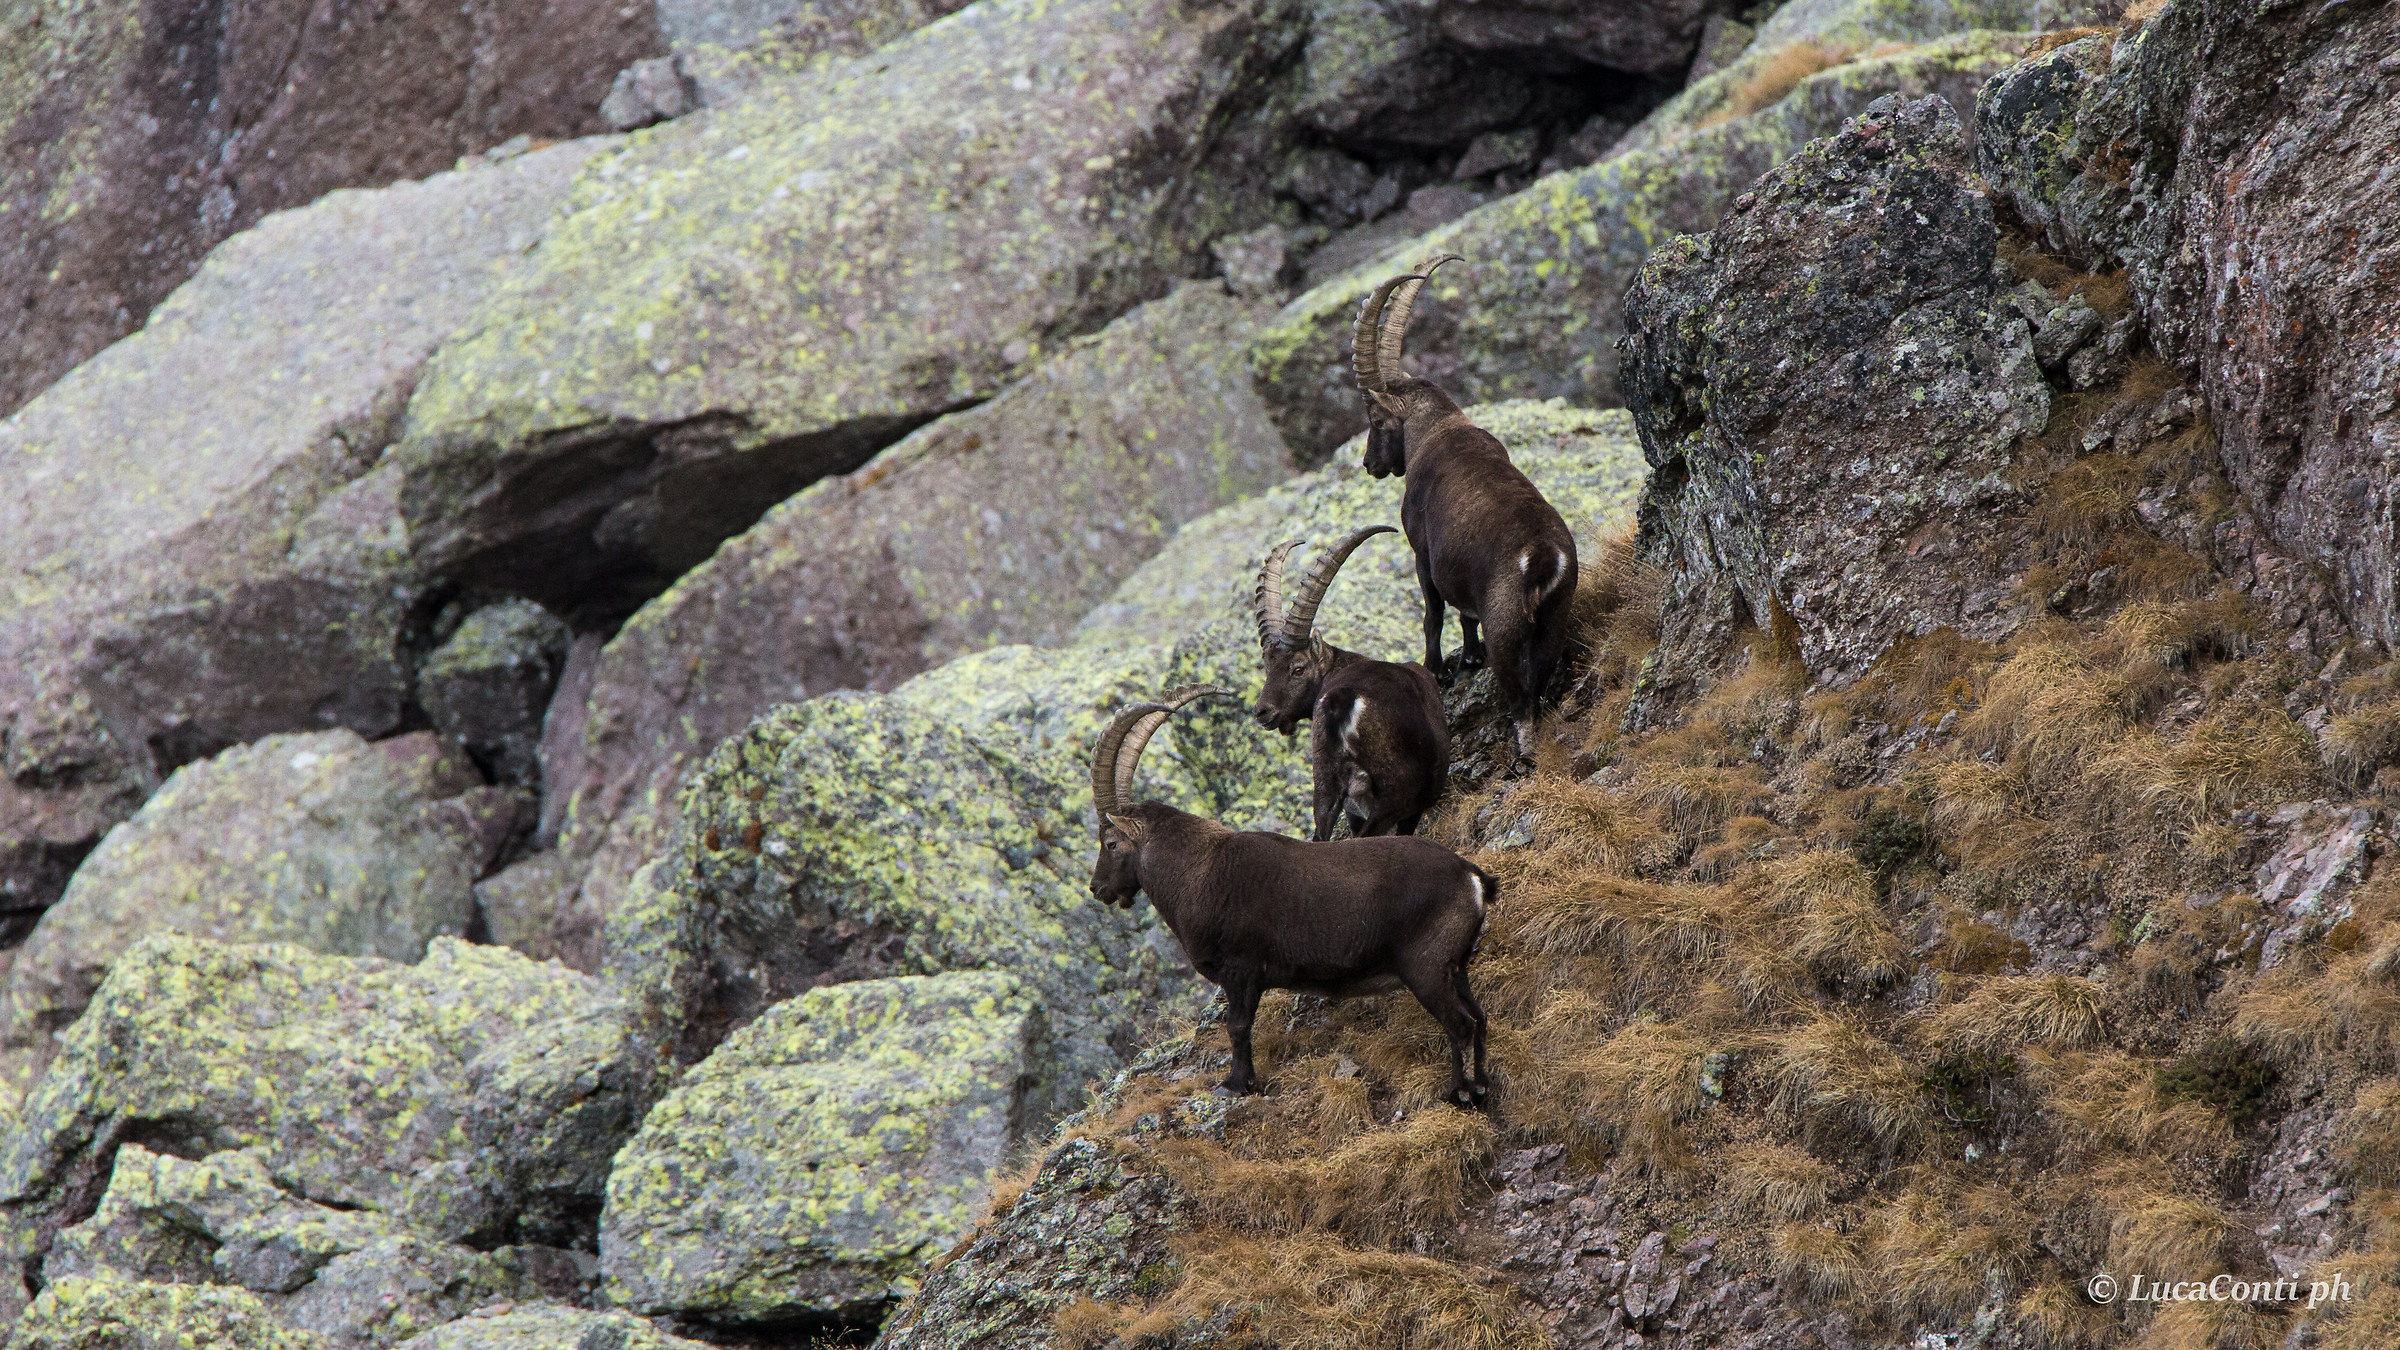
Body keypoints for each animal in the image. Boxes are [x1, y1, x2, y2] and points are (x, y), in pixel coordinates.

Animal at [1089, 686, 1492, 1107]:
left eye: (1111, 842)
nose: (1097, 888)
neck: (1197, 870)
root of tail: (1472, 877)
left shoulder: (1241, 970)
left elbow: (1237, 1027)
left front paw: (1235, 1084)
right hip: (1456, 967)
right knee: (1480, 1019)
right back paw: (1480, 1086)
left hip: (1426, 967)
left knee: (1461, 1025)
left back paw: (1460, 1092)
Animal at [1250, 526, 1449, 840]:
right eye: (1269, 667)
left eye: (1297, 669)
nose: (1262, 712)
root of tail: (1343, 701)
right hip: (1393, 793)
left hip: (1325, 782)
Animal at [1354, 255, 1579, 764]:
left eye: (1376, 420)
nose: (1370, 464)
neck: (1438, 430)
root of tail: (1543, 559)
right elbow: (1463, 614)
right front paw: (1469, 660)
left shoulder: (1421, 550)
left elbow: (1433, 611)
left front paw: (1436, 669)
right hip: (1554, 618)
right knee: (1539, 679)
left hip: (1507, 624)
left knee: (1519, 695)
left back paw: (1522, 760)